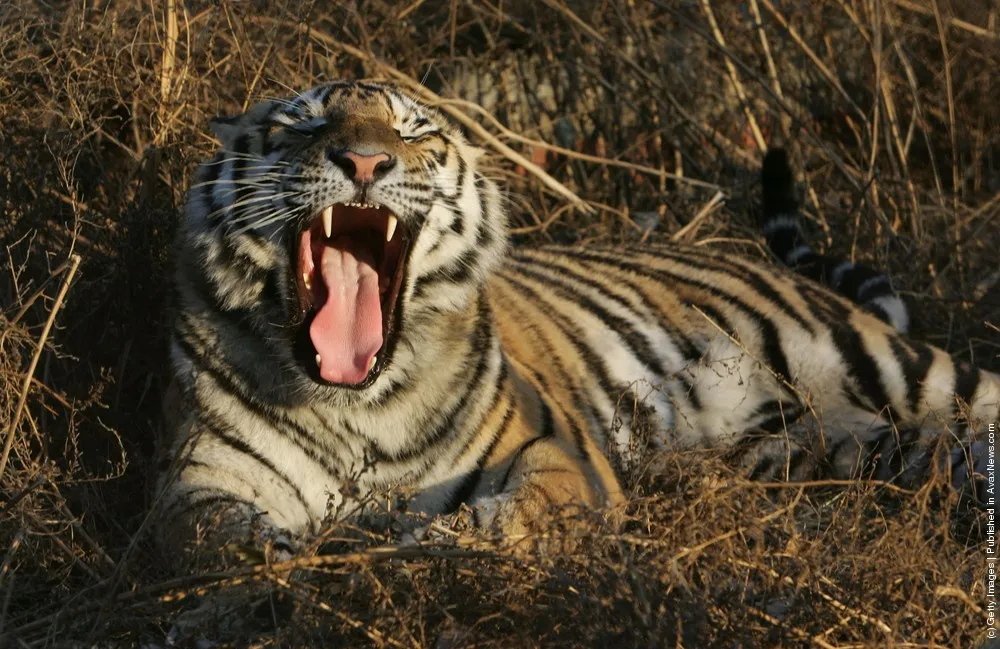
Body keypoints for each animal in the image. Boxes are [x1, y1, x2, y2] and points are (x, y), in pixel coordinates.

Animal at [158, 80, 997, 566]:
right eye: (302, 127)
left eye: (413, 132)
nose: (366, 162)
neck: (352, 400)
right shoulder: (199, 482)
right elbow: (216, 542)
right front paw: (293, 560)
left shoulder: (557, 453)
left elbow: (519, 513)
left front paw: (429, 543)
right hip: (817, 451)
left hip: (906, 370)